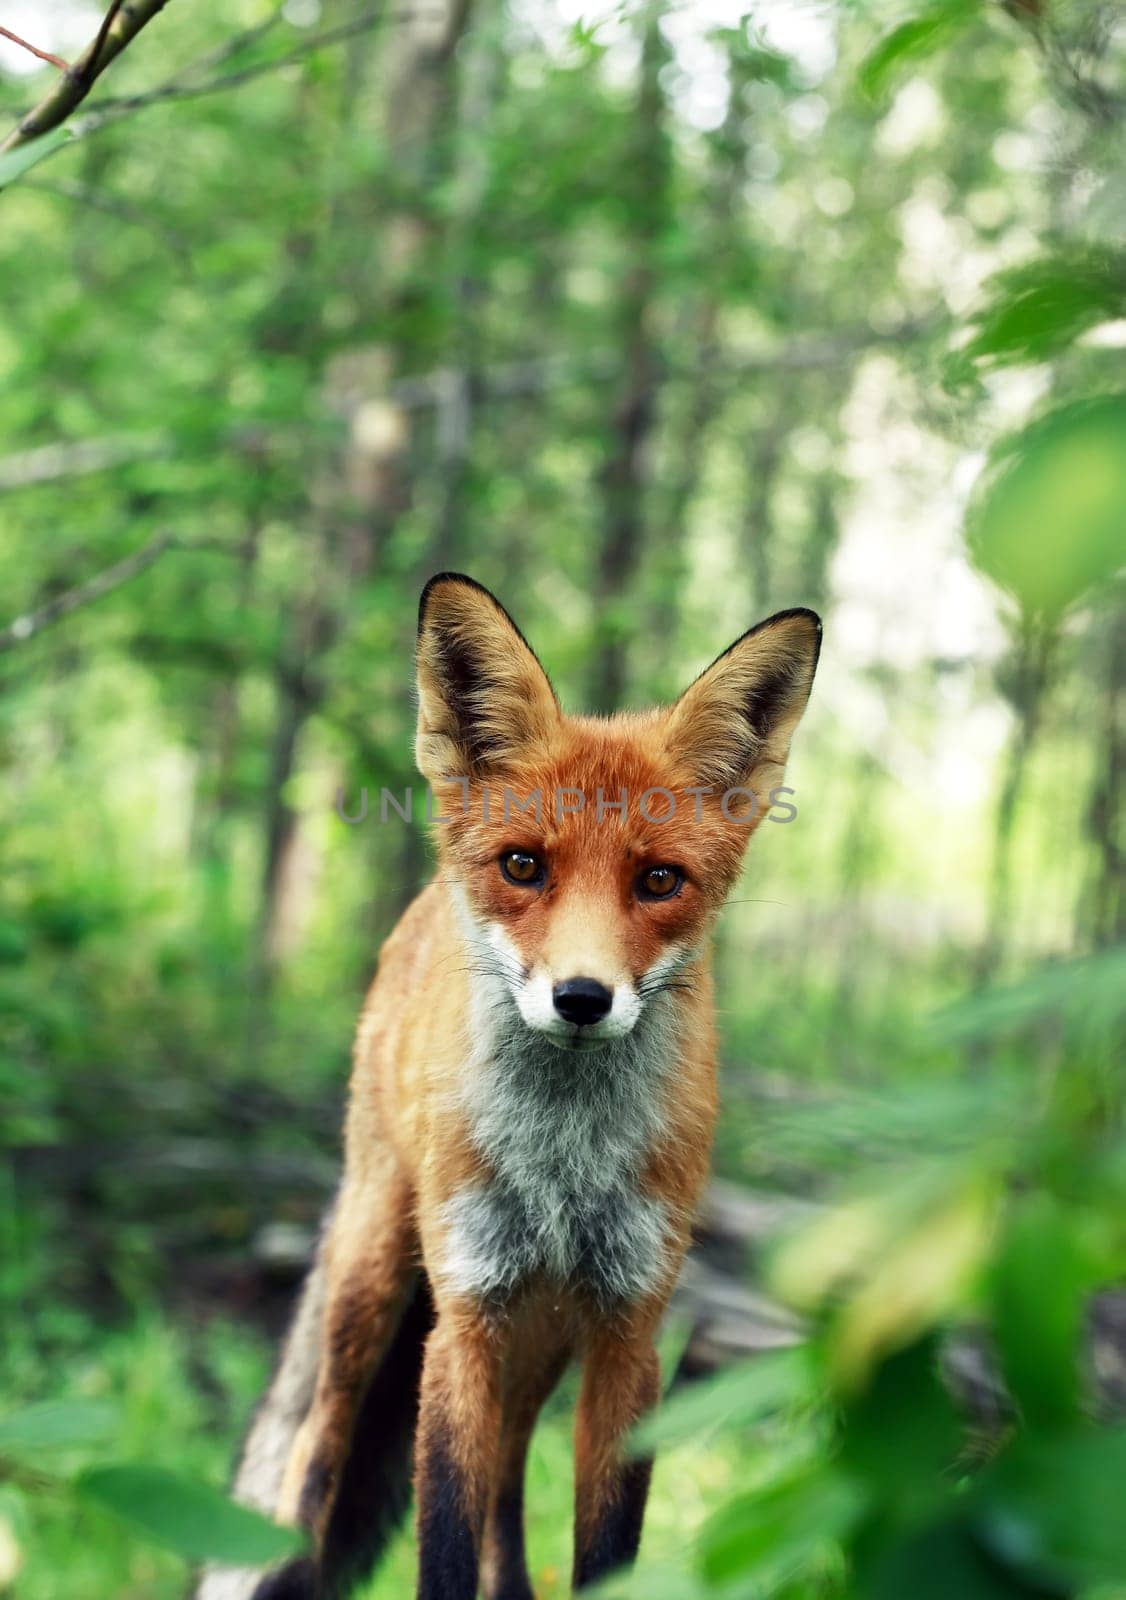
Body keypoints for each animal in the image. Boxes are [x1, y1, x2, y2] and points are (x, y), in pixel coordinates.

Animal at [198, 576, 825, 1600]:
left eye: (660, 881)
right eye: (524, 866)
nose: (581, 998)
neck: (561, 1164)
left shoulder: (628, 1329)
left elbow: (599, 1549)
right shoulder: (463, 1319)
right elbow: (443, 1544)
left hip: (541, 1339)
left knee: (505, 1493)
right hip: (375, 1285)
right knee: (313, 1466)